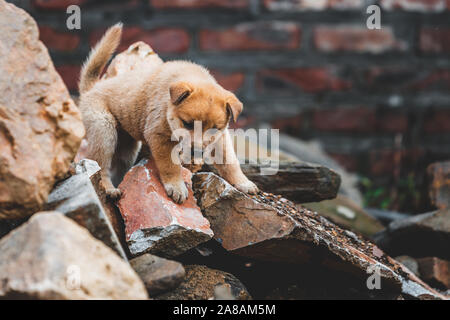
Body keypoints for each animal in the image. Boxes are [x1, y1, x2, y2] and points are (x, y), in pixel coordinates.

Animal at [79, 23, 258, 202]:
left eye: (214, 129)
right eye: (187, 124)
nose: (197, 152)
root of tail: (93, 86)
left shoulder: (221, 137)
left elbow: (230, 162)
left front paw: (243, 183)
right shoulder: (159, 136)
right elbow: (170, 166)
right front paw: (176, 187)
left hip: (127, 146)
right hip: (104, 131)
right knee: (100, 165)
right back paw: (108, 189)